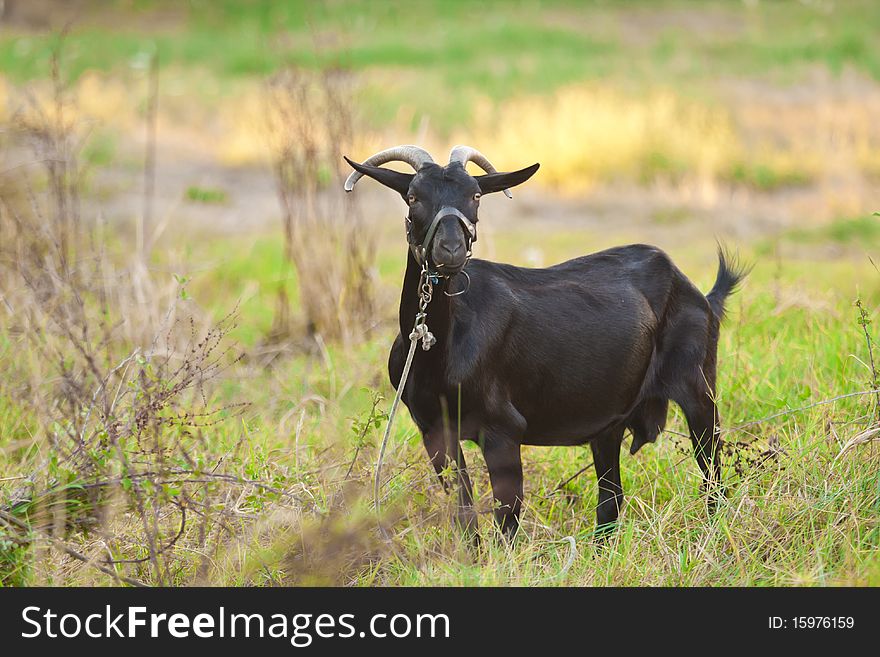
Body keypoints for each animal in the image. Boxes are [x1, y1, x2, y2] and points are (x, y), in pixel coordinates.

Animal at [342, 145, 744, 540]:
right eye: (413, 197)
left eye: (475, 195)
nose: (450, 249)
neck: (440, 348)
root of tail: (696, 291)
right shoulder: (434, 430)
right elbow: (464, 512)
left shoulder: (503, 429)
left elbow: (507, 517)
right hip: (609, 419)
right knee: (611, 499)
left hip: (698, 386)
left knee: (711, 475)